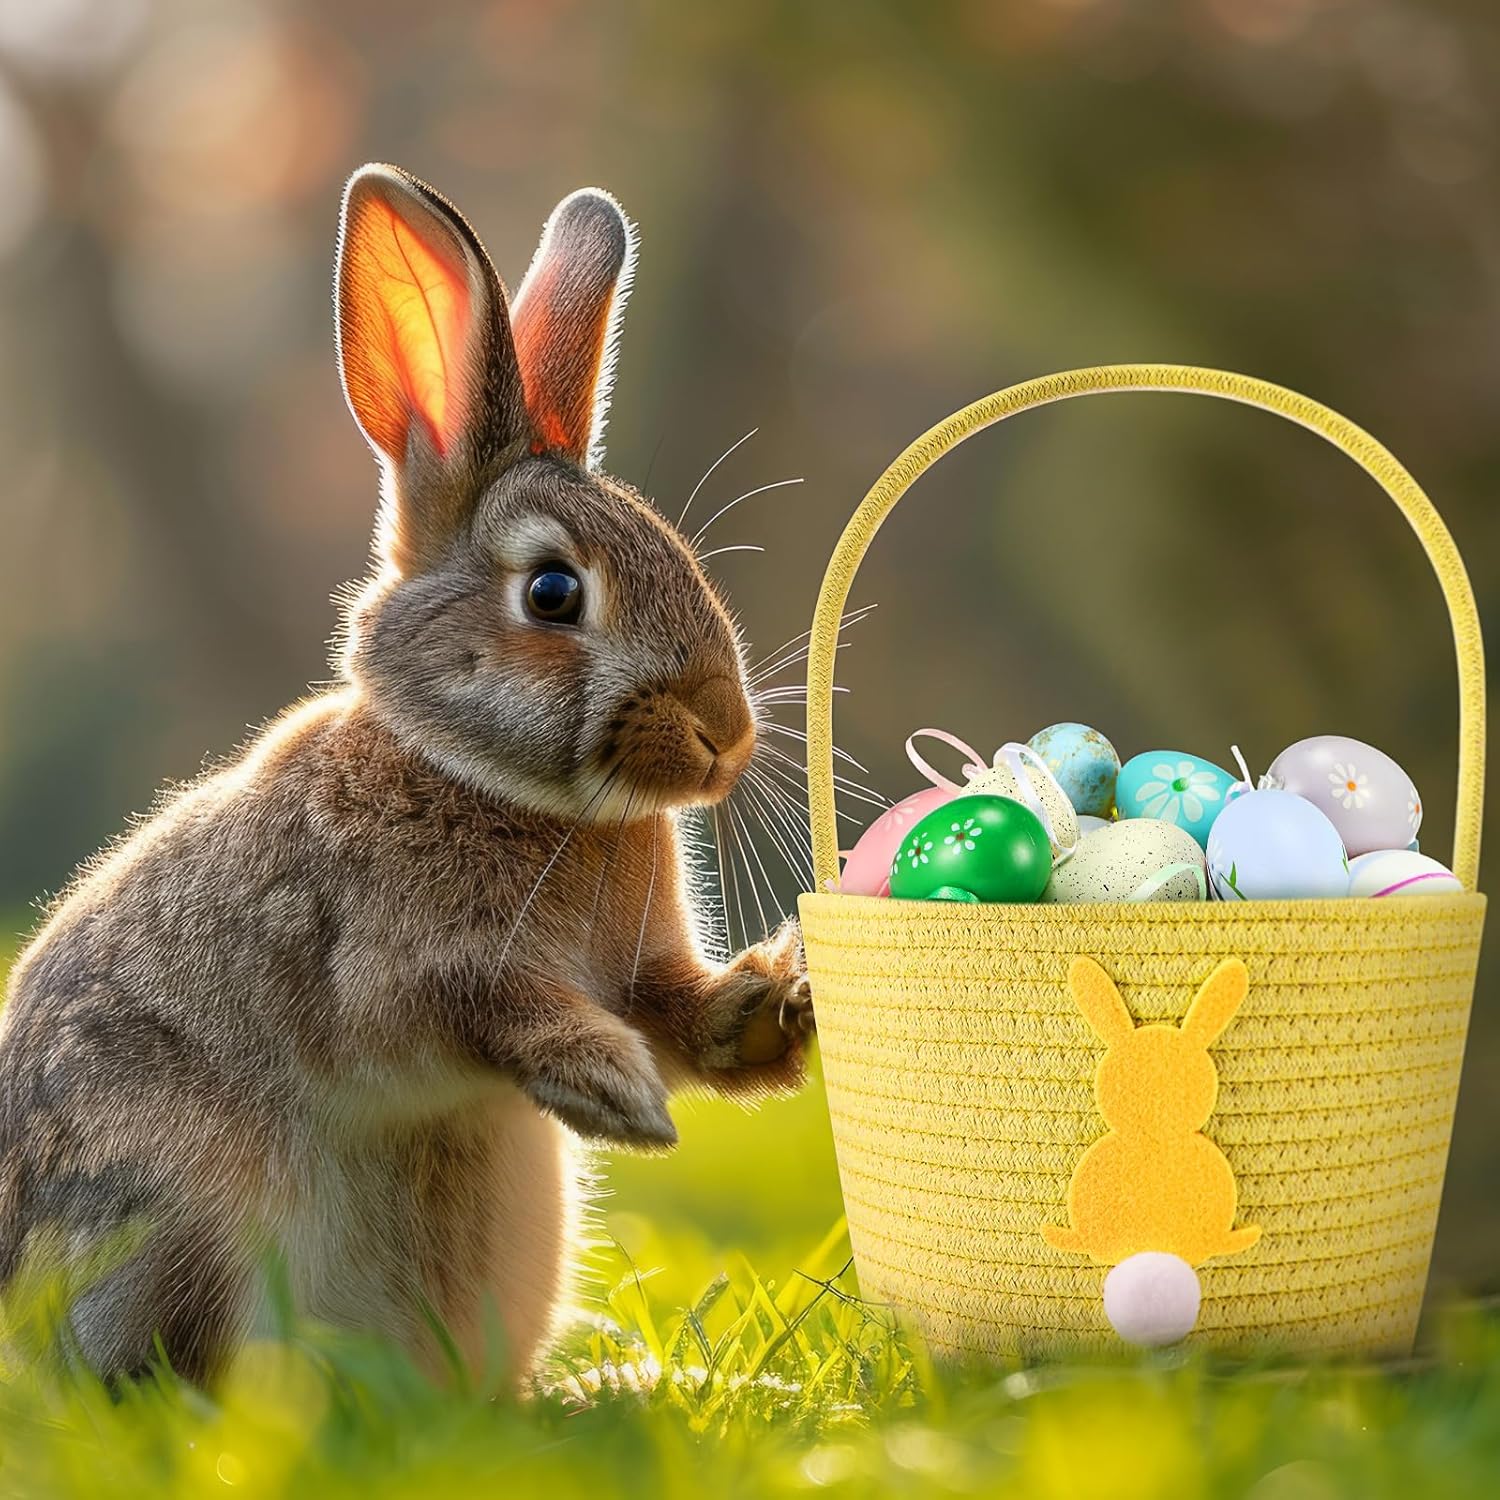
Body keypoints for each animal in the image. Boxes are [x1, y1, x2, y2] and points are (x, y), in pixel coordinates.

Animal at [0, 164, 813, 1387]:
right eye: (555, 593)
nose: (727, 735)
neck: (490, 779)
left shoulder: (638, 970)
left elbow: (678, 1015)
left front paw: (779, 1011)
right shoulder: (395, 966)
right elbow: (483, 1008)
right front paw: (614, 1090)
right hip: (187, 1220)